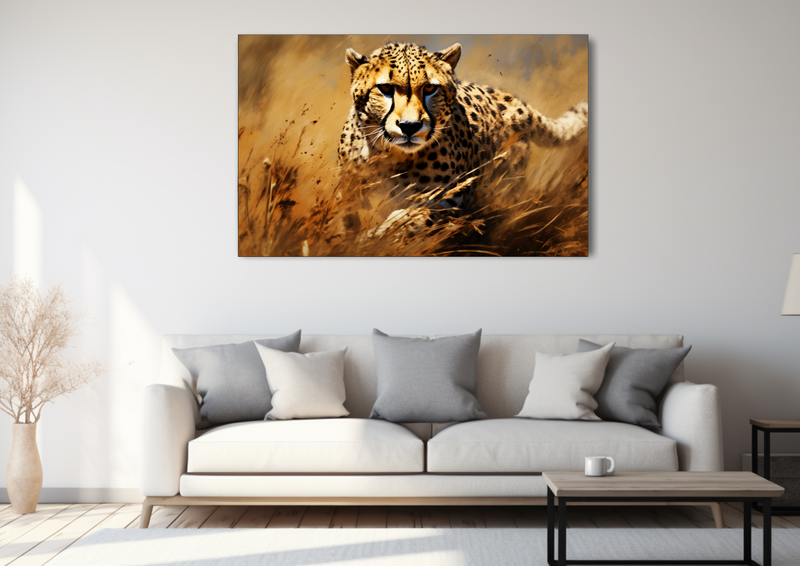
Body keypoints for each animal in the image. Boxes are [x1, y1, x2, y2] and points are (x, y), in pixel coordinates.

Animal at [337, 41, 588, 238]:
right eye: (386, 89)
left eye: (429, 88)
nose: (410, 126)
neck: (391, 155)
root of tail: (507, 97)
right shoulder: (349, 192)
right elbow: (346, 221)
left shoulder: (448, 196)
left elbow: (413, 216)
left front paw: (380, 233)